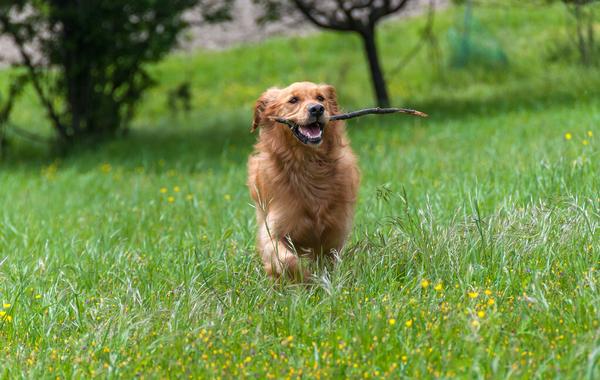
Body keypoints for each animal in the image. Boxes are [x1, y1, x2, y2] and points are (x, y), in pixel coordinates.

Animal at [246, 82, 358, 280]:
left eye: (320, 98)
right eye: (293, 100)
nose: (317, 109)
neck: (308, 165)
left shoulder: (335, 231)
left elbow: (327, 261)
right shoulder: (273, 230)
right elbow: (286, 260)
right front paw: (304, 279)